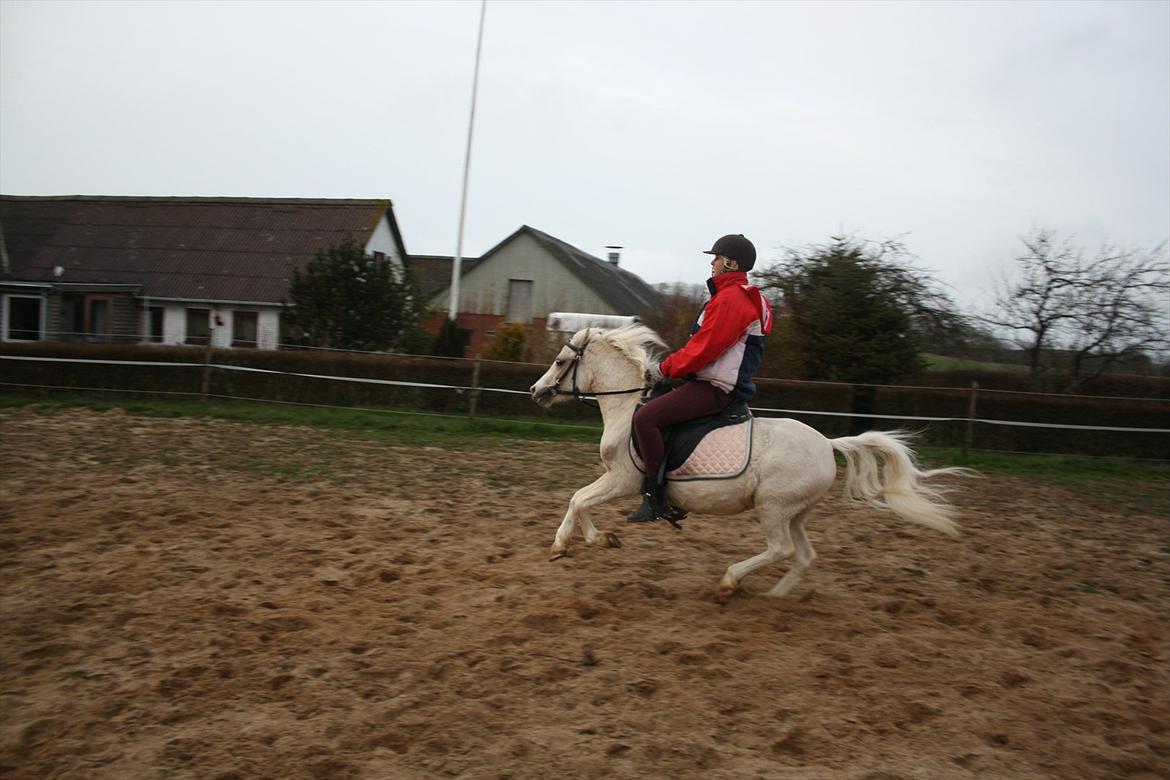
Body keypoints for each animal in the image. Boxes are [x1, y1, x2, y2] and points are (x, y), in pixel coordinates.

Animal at [531, 322, 968, 598]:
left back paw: (730, 583)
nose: (536, 391)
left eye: (559, 361)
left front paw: (573, 544)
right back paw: (774, 598)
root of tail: (827, 444)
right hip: (796, 512)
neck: (626, 409)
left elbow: (579, 499)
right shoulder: (614, 479)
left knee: (781, 550)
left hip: (772, 506)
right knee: (803, 555)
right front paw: (587, 541)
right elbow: (578, 498)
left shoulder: (624, 479)